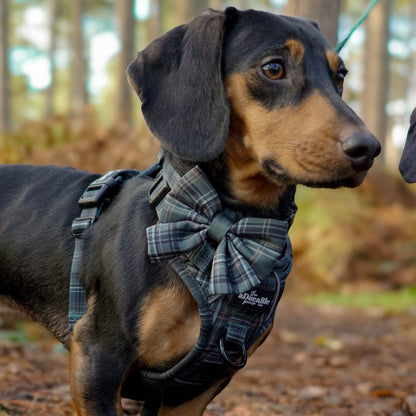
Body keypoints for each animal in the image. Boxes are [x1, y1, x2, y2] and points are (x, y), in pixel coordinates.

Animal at [0, 6, 380, 416]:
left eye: (339, 76)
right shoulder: (97, 358)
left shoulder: (192, 390)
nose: (369, 149)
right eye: (274, 68)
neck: (221, 226)